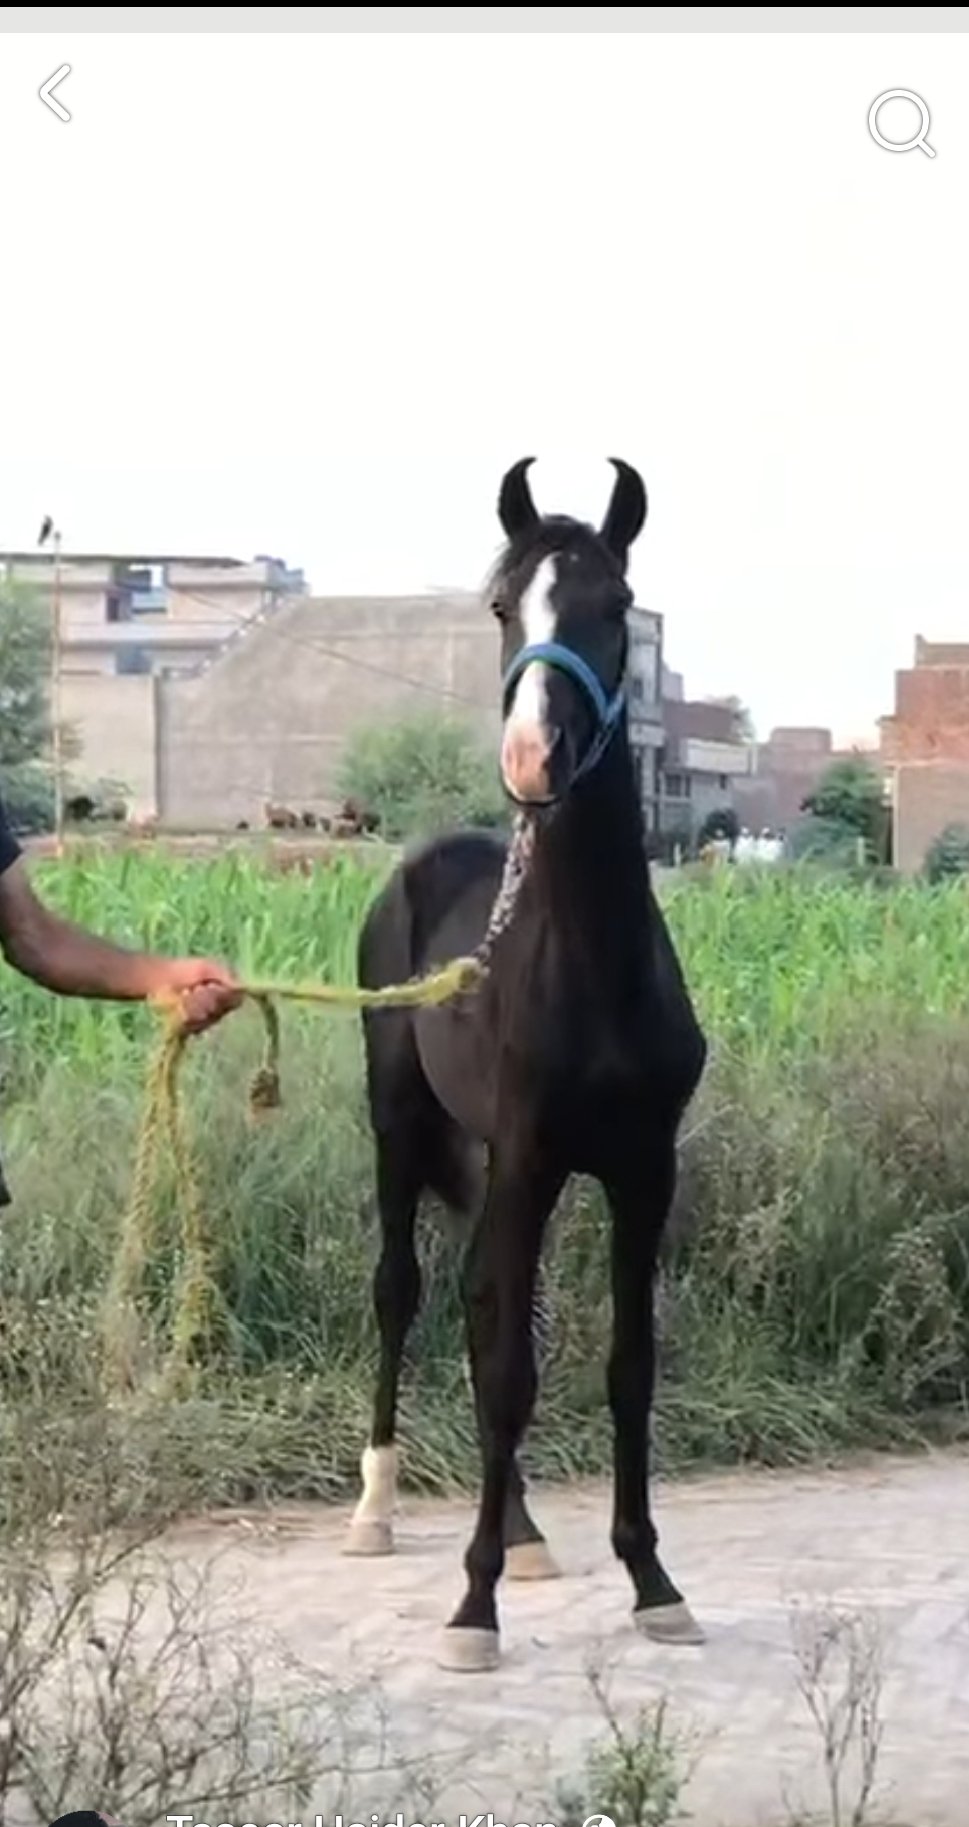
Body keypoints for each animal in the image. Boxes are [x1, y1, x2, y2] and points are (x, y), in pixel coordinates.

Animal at [343, 457, 707, 1672]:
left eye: (615, 608)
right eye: (506, 607)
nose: (531, 760)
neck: (590, 966)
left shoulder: (642, 1171)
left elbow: (625, 1368)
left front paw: (652, 1581)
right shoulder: (533, 1157)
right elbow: (509, 1369)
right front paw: (472, 1608)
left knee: (475, 1299)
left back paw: (527, 1528)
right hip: (401, 1125)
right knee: (405, 1291)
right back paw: (376, 1509)